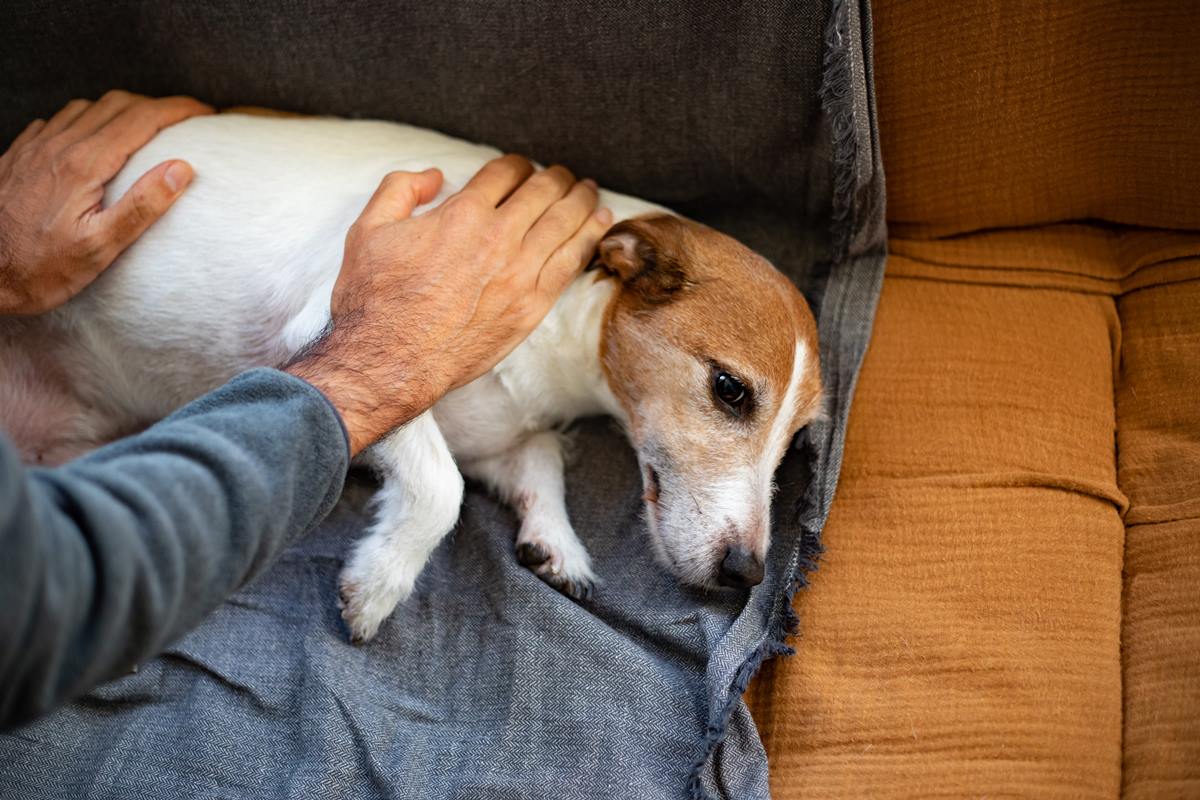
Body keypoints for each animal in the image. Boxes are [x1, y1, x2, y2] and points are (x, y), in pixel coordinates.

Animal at [0, 112, 820, 642]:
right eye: (730, 389)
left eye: (796, 444)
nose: (748, 572)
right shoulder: (333, 331)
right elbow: (439, 489)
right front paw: (380, 585)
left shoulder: (495, 434)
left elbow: (537, 459)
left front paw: (554, 537)